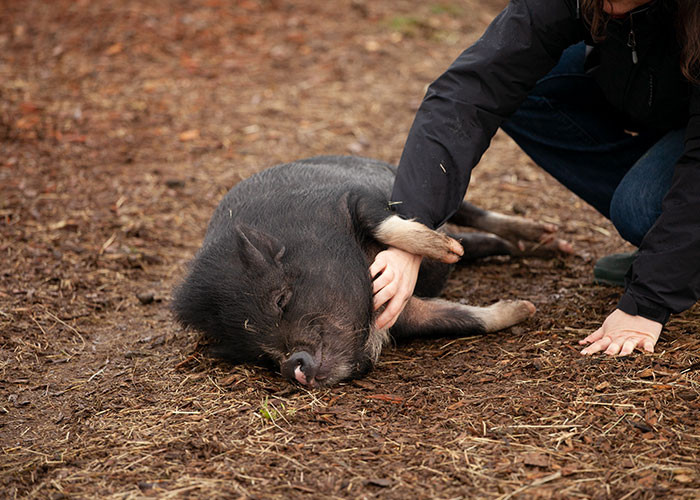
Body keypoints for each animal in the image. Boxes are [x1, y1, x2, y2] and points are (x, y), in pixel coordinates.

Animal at [172, 156, 568, 387]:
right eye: (257, 353)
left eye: (281, 300)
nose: (291, 367)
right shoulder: (406, 315)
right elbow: (464, 319)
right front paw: (524, 308)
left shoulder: (354, 198)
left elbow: (386, 223)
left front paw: (445, 252)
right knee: (478, 241)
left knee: (474, 214)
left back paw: (548, 239)